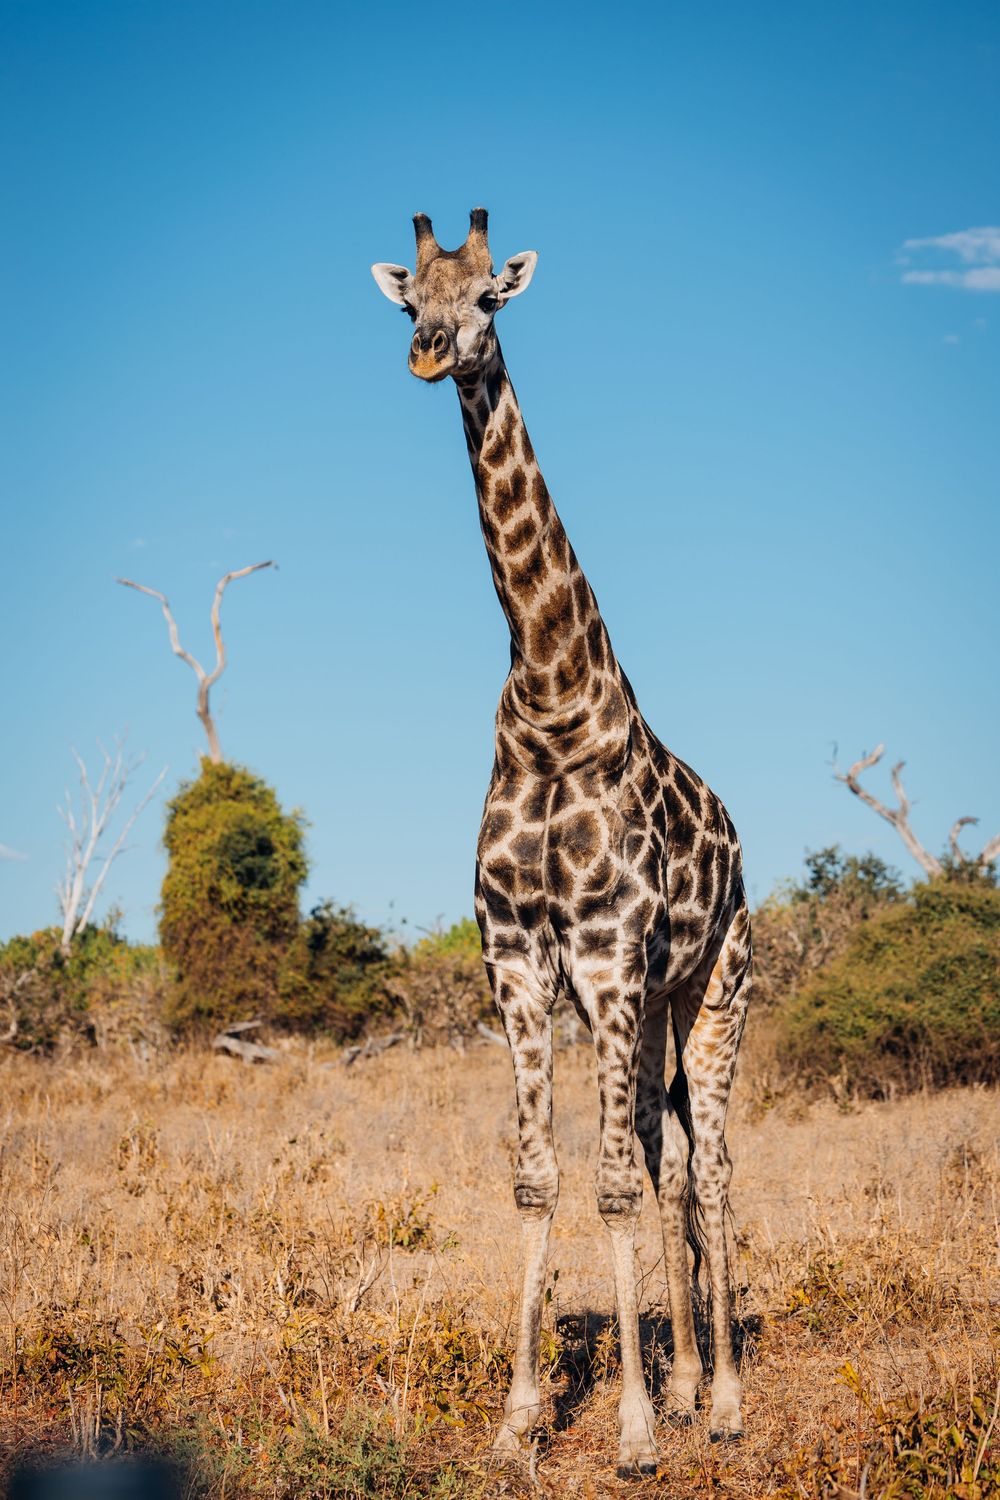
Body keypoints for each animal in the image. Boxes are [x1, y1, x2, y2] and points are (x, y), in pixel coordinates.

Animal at [372, 209, 752, 1476]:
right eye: (410, 301)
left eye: (491, 294)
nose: (432, 351)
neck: (550, 701)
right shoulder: (525, 969)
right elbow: (543, 1181)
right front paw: (520, 1417)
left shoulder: (606, 955)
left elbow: (614, 1191)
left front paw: (629, 1431)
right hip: (646, 1009)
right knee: (664, 1152)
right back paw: (685, 1383)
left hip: (713, 989)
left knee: (708, 1167)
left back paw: (721, 1402)